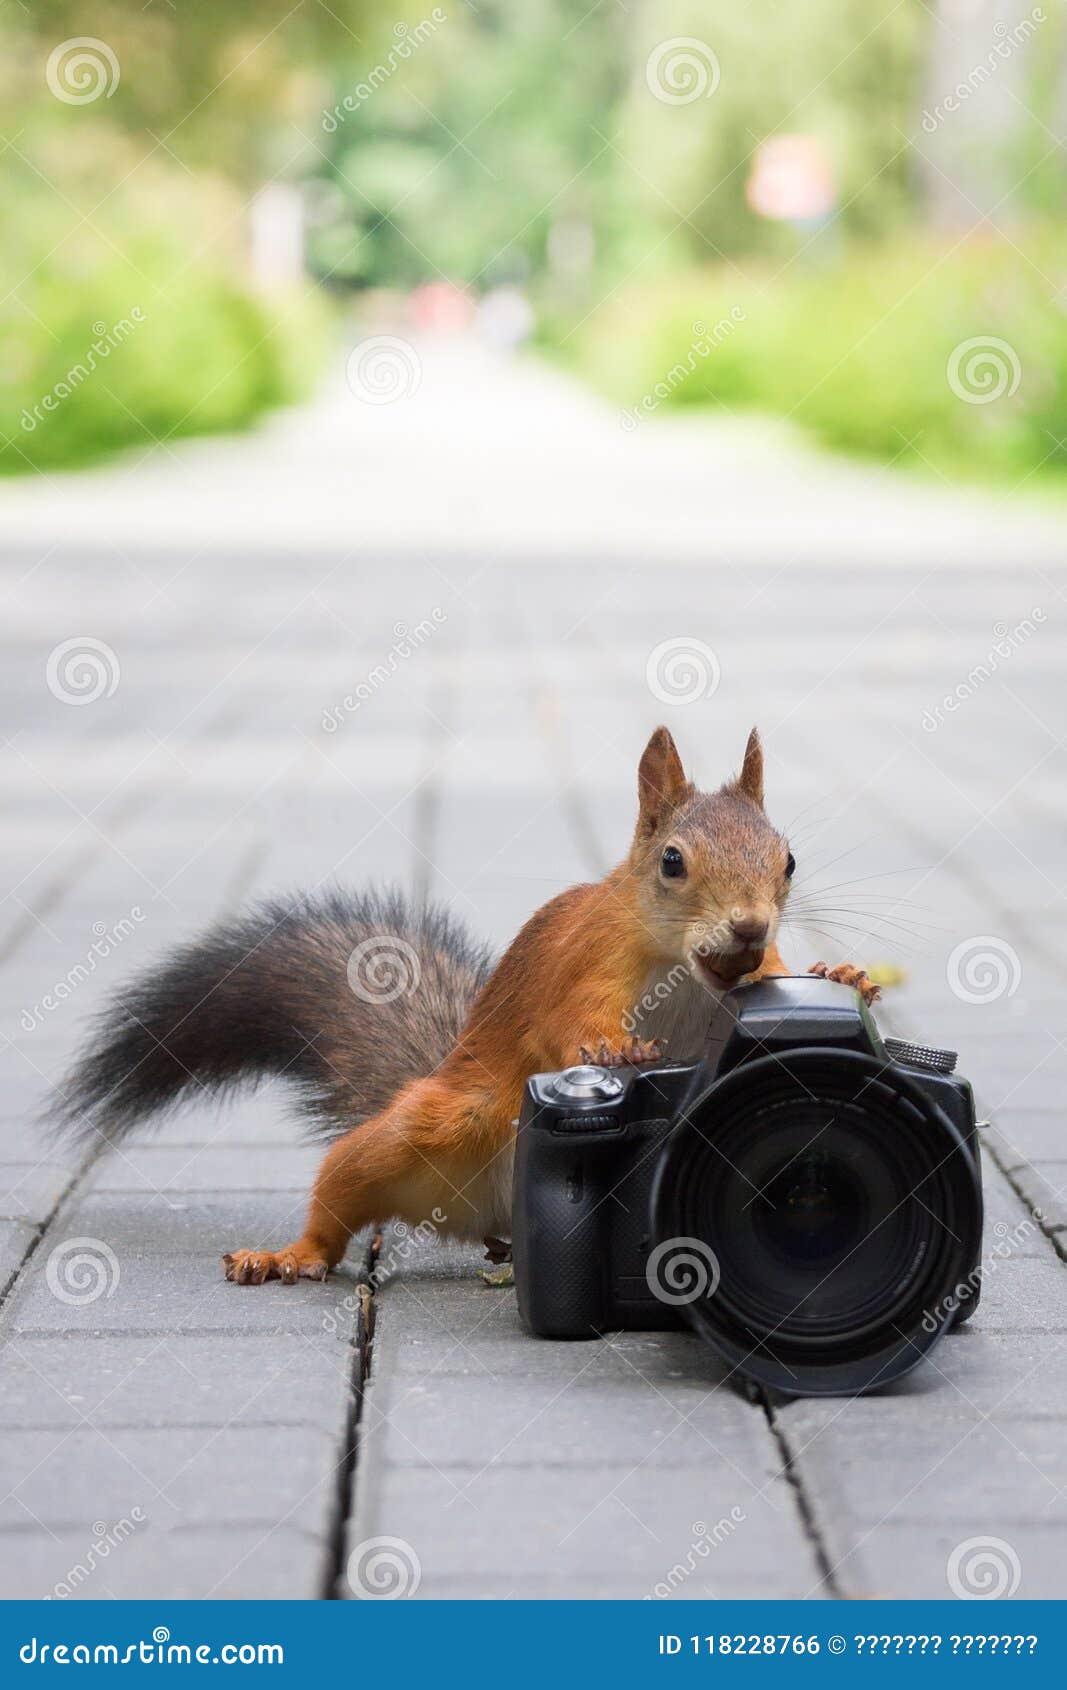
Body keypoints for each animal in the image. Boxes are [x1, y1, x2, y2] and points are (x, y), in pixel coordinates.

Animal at [53, 726, 878, 1285]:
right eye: (672, 862)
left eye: (787, 861)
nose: (749, 925)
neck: (683, 966)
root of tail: (485, 1212)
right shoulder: (584, 964)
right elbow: (567, 1024)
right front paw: (613, 1051)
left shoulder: (759, 973)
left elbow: (788, 975)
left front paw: (841, 970)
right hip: (438, 1125)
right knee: (341, 1194)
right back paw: (287, 1255)